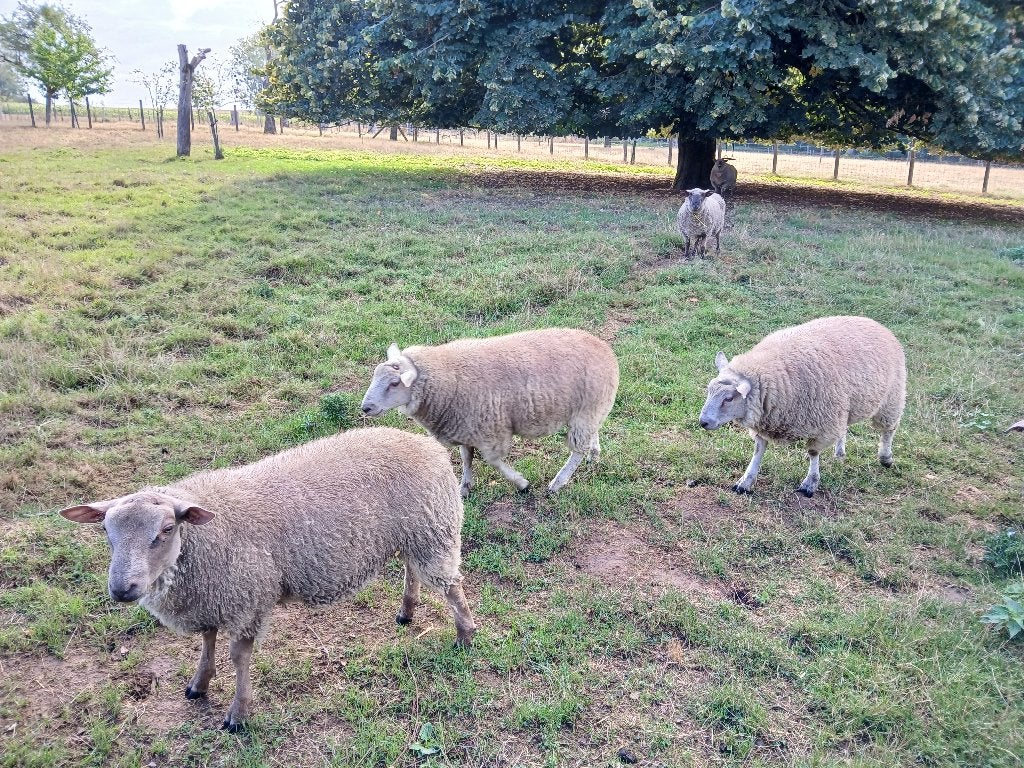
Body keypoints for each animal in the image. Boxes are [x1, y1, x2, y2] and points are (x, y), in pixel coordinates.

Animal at [58, 426, 477, 732]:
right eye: (107, 532)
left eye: (165, 530)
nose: (121, 589)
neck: (202, 540)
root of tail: (426, 444)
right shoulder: (212, 597)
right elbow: (207, 642)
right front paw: (199, 684)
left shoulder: (248, 599)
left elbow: (238, 656)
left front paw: (238, 714)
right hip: (411, 534)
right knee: (412, 569)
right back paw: (407, 611)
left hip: (433, 528)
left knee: (450, 584)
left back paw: (465, 635)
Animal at [360, 328, 619, 496]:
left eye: (395, 383)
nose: (365, 407)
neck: (447, 379)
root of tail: (605, 349)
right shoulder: (465, 427)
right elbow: (466, 459)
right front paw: (464, 488)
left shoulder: (492, 430)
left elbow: (494, 461)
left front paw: (521, 483)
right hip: (591, 409)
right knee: (592, 434)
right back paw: (594, 455)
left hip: (585, 412)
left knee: (576, 450)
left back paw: (558, 482)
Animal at [698, 316, 906, 497]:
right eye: (709, 389)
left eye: (729, 398)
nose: (703, 422)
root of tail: (873, 322)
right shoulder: (766, 424)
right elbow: (758, 451)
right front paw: (745, 482)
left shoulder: (824, 423)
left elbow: (813, 452)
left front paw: (810, 483)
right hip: (844, 405)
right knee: (844, 428)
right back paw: (839, 453)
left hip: (892, 398)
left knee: (888, 430)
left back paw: (886, 458)